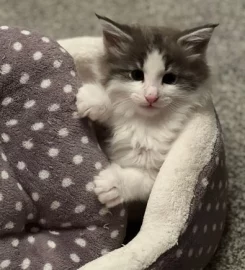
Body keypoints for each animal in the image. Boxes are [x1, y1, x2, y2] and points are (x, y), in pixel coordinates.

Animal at [75, 14, 217, 209]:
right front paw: (95, 99)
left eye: (170, 78)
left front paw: (113, 184)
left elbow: (141, 180)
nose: (151, 97)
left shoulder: (155, 172)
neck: (144, 123)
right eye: (136, 75)